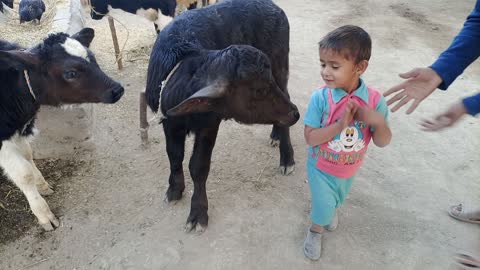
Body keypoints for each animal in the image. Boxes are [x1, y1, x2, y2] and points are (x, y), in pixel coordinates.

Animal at [0, 28, 124, 230]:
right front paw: (43, 214)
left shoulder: (18, 131)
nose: (117, 89)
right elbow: (24, 174)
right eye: (71, 73)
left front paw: (42, 185)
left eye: (92, 57)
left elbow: (28, 155)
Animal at [146, 0, 298, 232]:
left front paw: (198, 212)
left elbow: (198, 166)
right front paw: (174, 190)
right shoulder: (169, 124)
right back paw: (276, 134)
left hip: (281, 66)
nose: (295, 113)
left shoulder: (209, 124)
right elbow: (174, 155)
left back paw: (286, 157)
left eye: (264, 85)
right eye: (259, 90)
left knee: (287, 95)